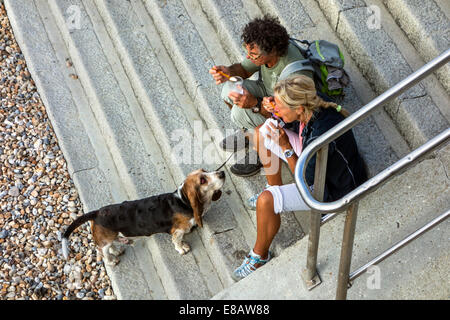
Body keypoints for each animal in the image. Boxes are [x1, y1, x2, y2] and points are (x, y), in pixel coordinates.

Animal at [60, 169, 225, 266]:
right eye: (203, 180)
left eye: (205, 170)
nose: (222, 172)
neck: (183, 201)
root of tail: (97, 212)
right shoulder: (177, 231)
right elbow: (177, 241)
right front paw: (182, 248)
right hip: (105, 242)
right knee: (103, 252)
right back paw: (112, 261)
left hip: (110, 237)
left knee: (110, 245)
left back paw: (117, 251)